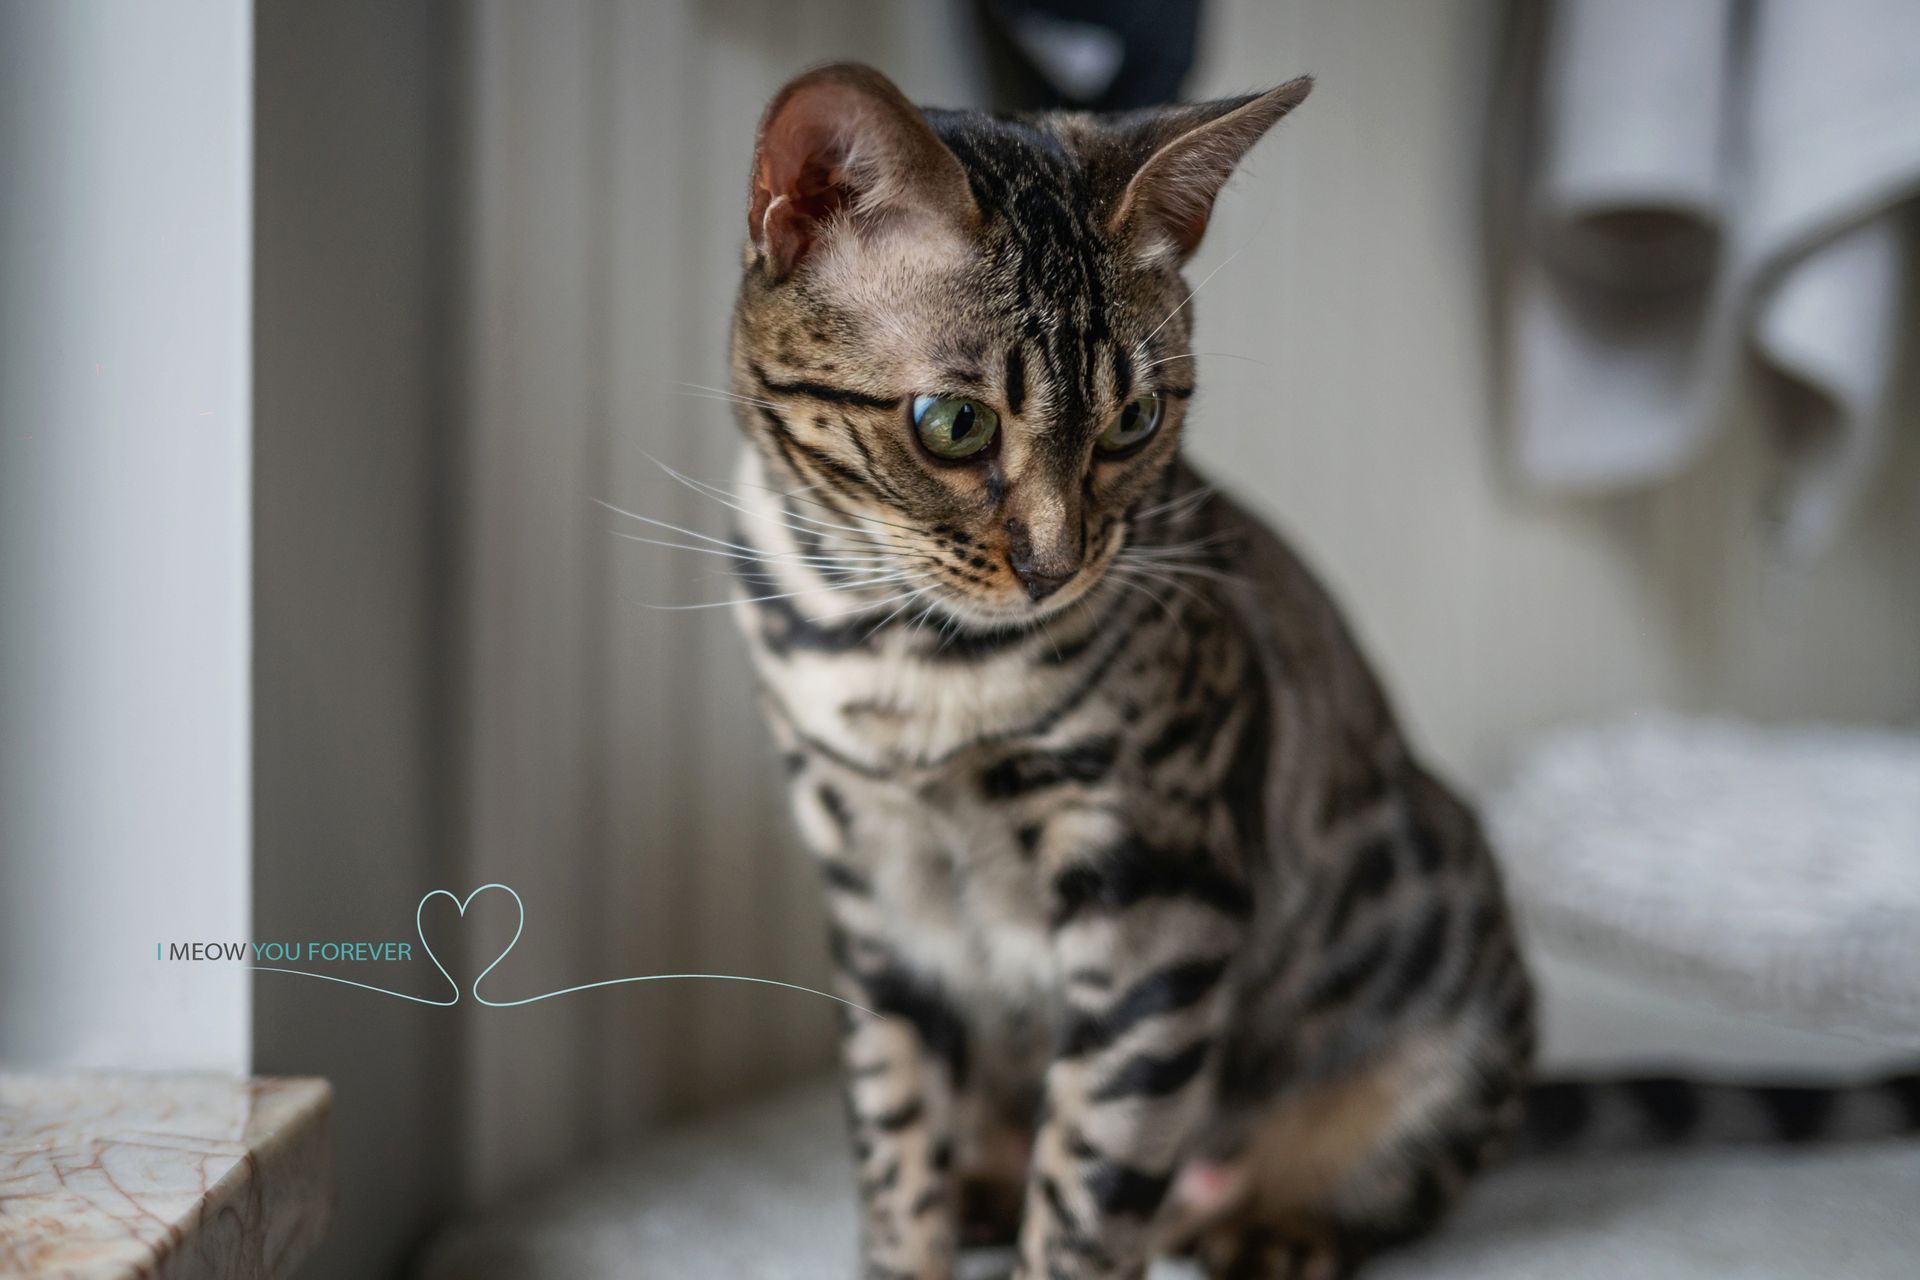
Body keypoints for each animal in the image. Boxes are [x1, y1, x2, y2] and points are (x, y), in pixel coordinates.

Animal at [714, 62, 1920, 1280]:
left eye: (1134, 421)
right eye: (953, 424)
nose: (1058, 565)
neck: (898, 659)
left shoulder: (1159, 896)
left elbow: (1094, 1176)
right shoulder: (877, 904)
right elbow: (895, 1133)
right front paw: (913, 1232)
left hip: (1446, 993)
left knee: (1375, 1186)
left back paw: (1271, 1226)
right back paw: (987, 1187)